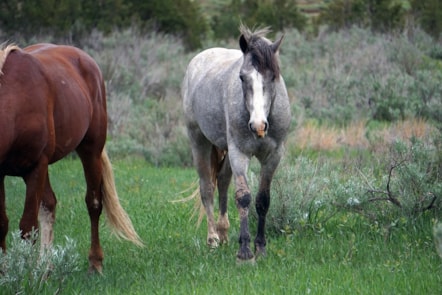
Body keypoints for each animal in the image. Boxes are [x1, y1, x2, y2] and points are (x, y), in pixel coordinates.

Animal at [0, 44, 142, 276]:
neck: (15, 102)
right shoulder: (1, 173)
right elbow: (3, 223)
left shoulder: (36, 167)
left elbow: (28, 226)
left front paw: (23, 276)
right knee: (49, 204)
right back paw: (45, 267)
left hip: (90, 151)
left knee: (93, 204)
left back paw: (95, 263)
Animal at [181, 25, 292, 262]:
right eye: (242, 77)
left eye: (273, 77)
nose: (258, 126)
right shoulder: (239, 153)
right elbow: (244, 198)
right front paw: (245, 252)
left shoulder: (273, 156)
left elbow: (263, 200)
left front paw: (261, 247)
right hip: (199, 141)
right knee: (207, 188)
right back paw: (213, 239)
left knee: (222, 182)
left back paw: (223, 233)